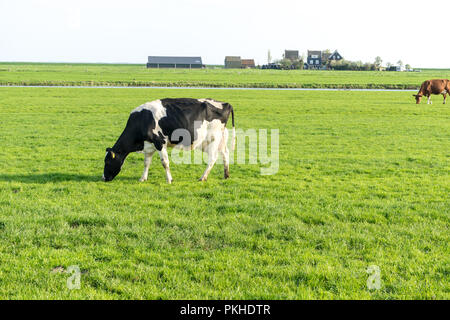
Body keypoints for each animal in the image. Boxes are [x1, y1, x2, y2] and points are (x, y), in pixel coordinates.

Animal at [102, 97, 236, 182]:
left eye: (107, 162)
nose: (104, 178)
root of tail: (225, 103)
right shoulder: (149, 145)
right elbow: (146, 163)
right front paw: (142, 178)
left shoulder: (160, 142)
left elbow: (165, 162)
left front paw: (169, 179)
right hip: (216, 139)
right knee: (225, 153)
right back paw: (226, 175)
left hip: (213, 138)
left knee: (213, 158)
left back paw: (203, 177)